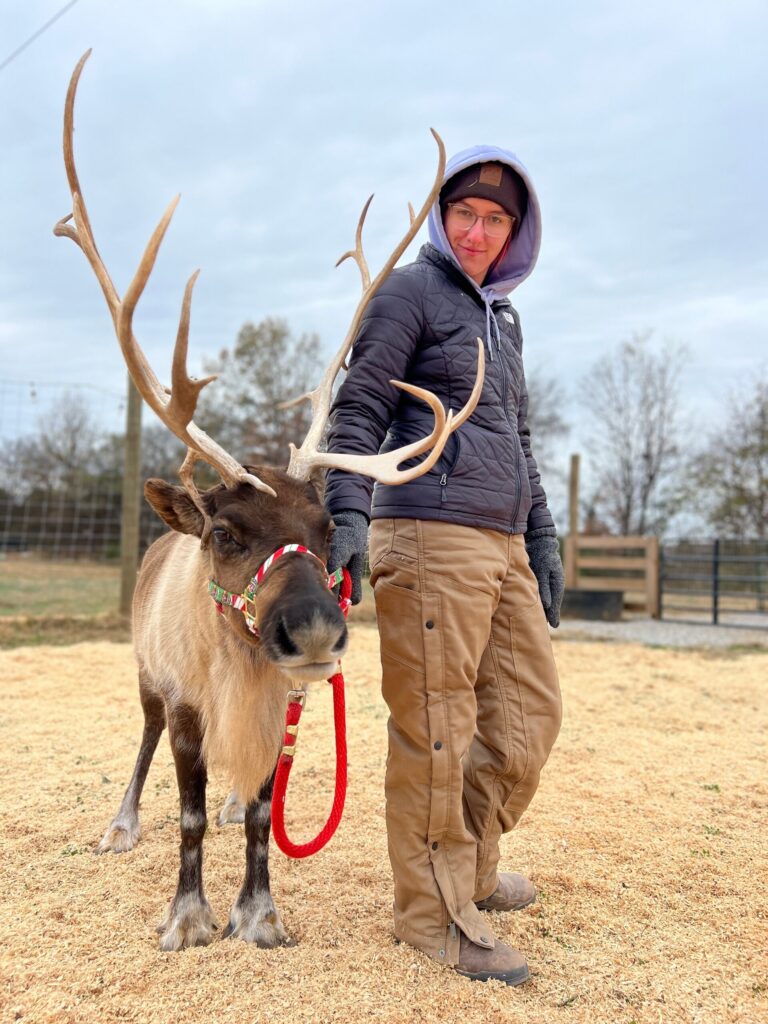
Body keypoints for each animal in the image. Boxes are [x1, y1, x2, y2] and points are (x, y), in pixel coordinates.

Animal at [54, 52, 485, 952]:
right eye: (224, 531)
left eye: (327, 528)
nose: (316, 630)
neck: (238, 668)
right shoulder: (185, 702)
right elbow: (183, 814)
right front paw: (187, 918)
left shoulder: (281, 707)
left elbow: (259, 813)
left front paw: (258, 913)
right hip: (143, 675)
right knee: (143, 745)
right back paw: (121, 825)